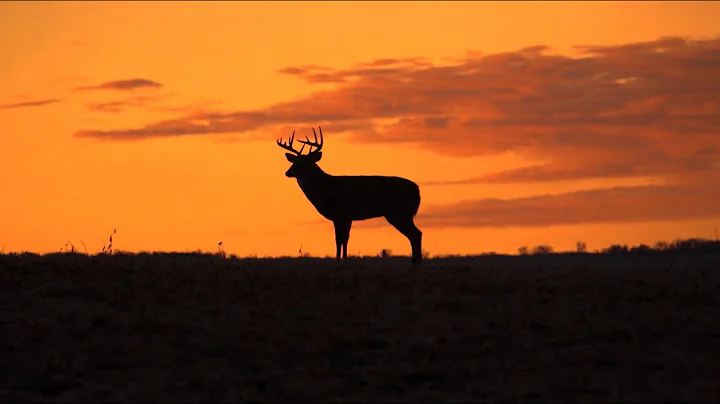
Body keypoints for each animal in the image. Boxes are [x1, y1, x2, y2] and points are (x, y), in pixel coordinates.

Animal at [277, 127, 423, 264]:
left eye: (306, 163)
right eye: (294, 162)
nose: (288, 172)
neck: (325, 188)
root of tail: (417, 189)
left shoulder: (340, 213)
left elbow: (339, 239)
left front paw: (338, 260)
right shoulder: (347, 217)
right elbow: (345, 239)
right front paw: (344, 260)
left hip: (399, 212)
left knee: (416, 234)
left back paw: (416, 263)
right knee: (415, 234)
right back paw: (416, 262)